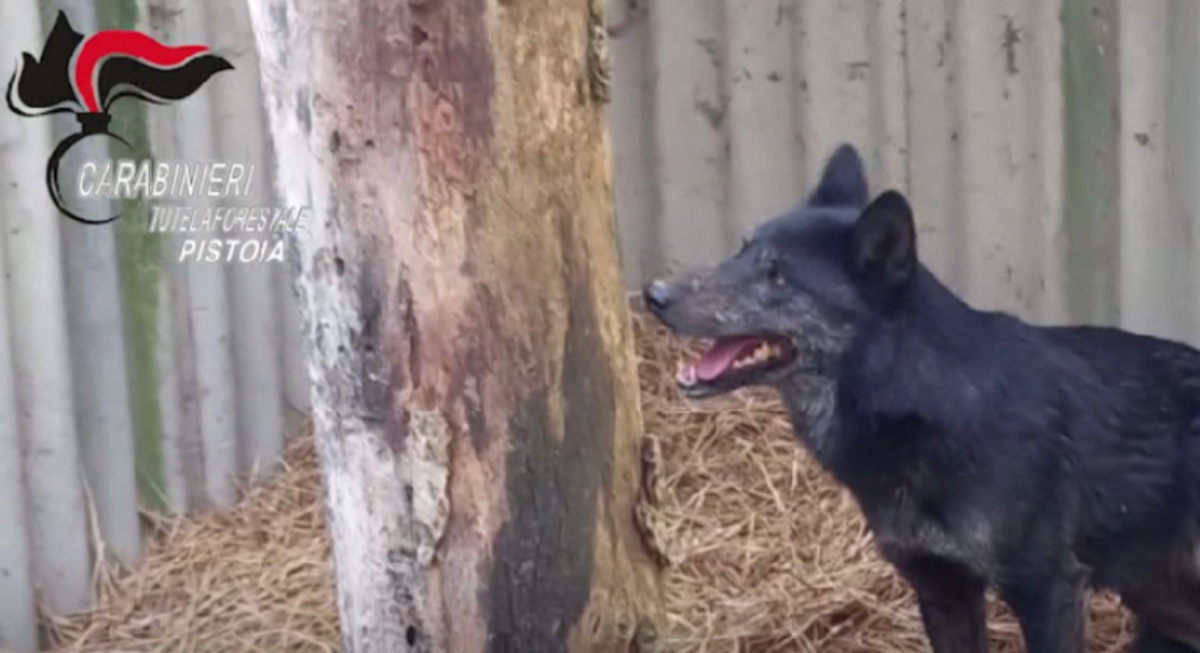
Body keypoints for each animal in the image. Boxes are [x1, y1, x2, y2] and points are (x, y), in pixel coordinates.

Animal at [648, 144, 1200, 653]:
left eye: (778, 275)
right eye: (741, 250)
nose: (654, 295)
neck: (932, 404)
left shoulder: (1047, 587)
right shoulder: (940, 586)